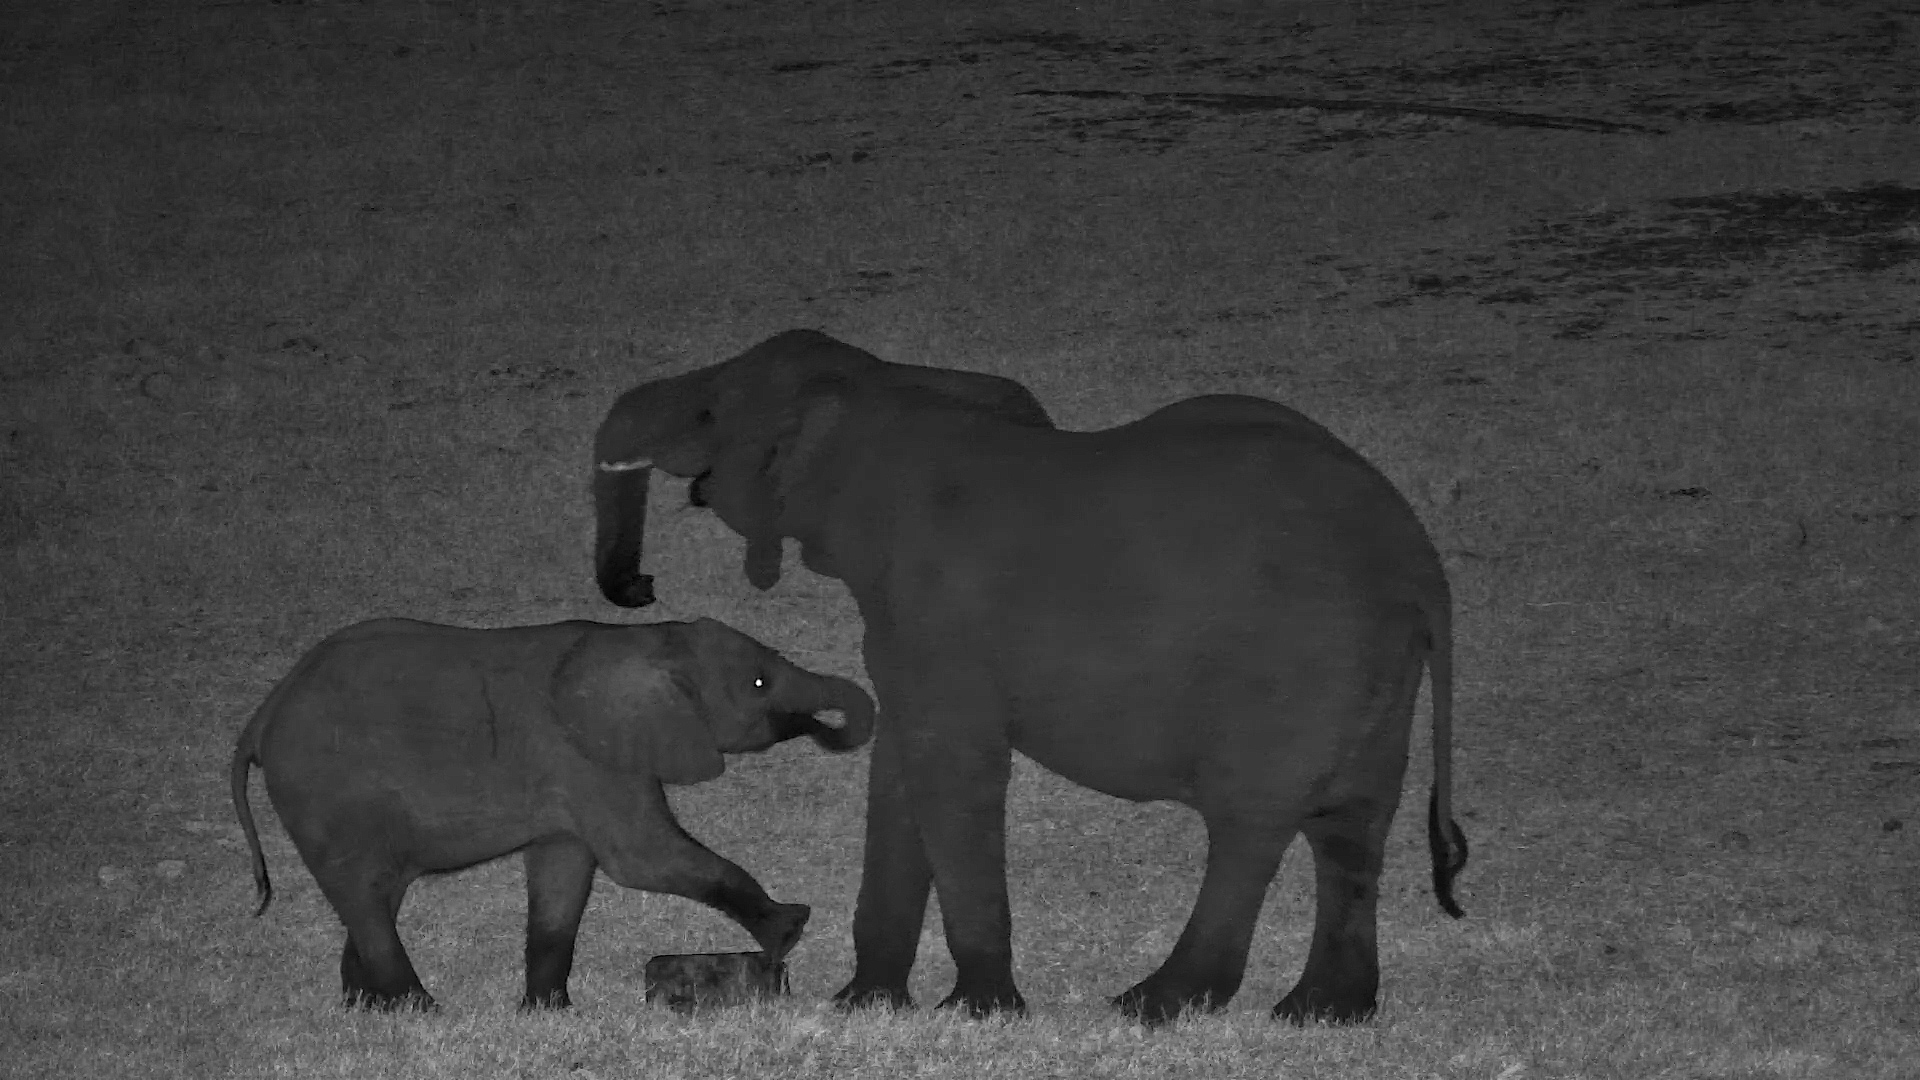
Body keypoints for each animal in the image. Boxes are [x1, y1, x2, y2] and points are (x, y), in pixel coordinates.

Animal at [229, 615, 875, 1011]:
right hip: (323, 798)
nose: (824, 728)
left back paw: (368, 1011)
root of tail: (259, 721)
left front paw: (549, 1013)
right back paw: (422, 1013)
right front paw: (790, 930)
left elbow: (565, 875)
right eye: (761, 683)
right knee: (365, 896)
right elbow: (643, 861)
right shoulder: (583, 755)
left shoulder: (575, 777)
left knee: (376, 896)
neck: (641, 638)